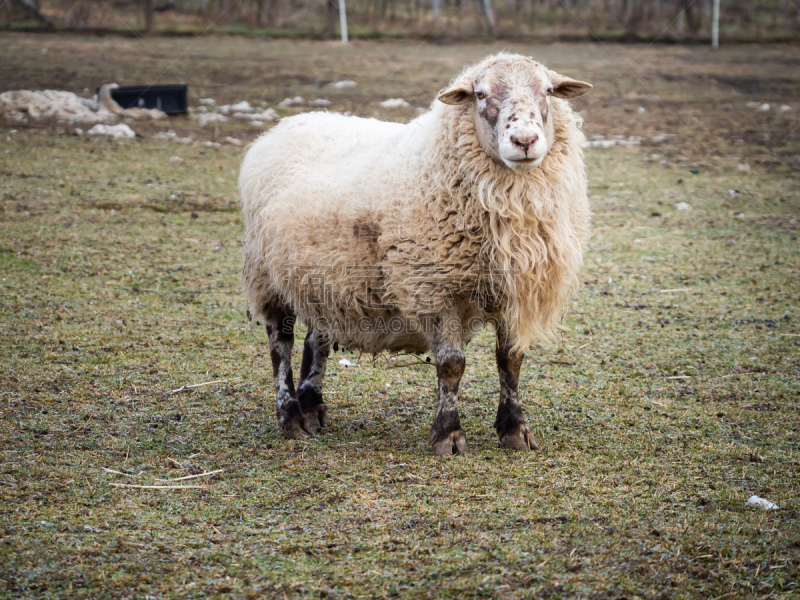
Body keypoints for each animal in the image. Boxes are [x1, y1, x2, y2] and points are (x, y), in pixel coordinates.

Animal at [241, 52, 592, 454]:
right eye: (480, 94)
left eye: (548, 91)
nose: (524, 141)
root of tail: (284, 125)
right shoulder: (432, 287)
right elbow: (452, 364)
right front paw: (448, 434)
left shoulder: (513, 291)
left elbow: (511, 359)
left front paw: (515, 428)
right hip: (266, 274)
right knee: (279, 343)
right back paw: (291, 417)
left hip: (324, 278)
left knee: (318, 337)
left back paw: (313, 407)